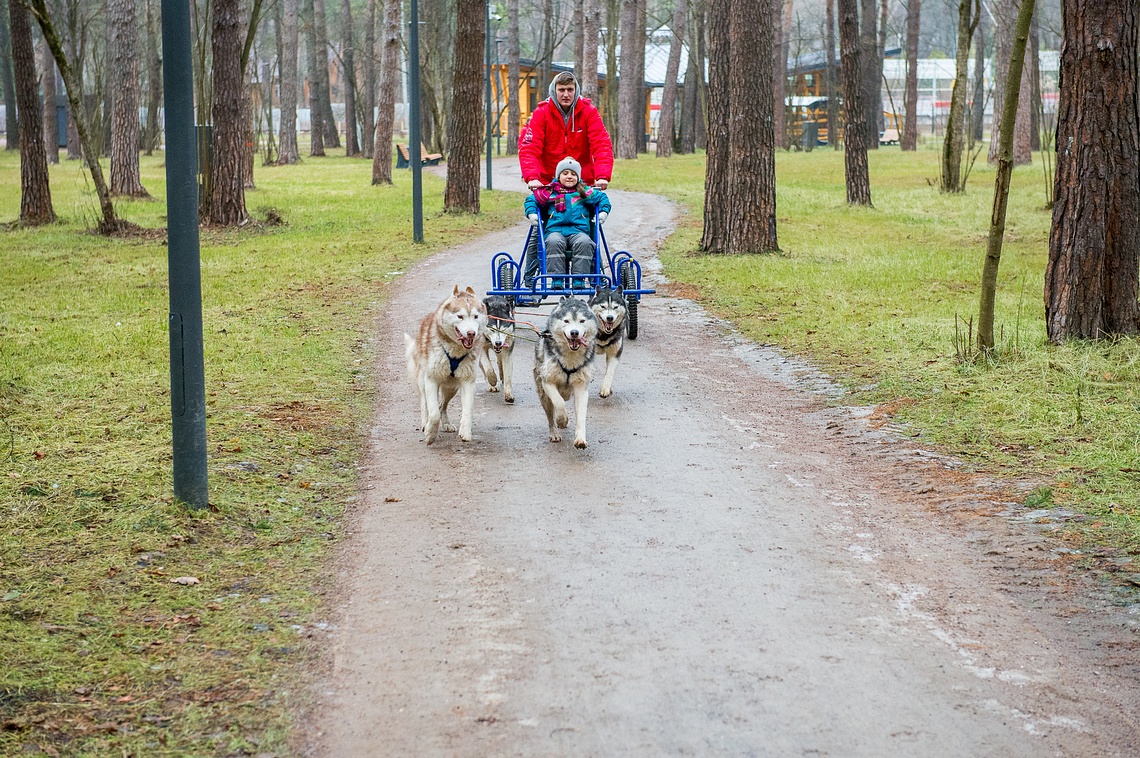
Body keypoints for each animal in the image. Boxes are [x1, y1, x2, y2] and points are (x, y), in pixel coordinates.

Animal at [405, 284, 485, 444]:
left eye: (475, 316)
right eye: (460, 316)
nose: (471, 333)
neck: (455, 352)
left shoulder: (468, 381)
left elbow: (467, 410)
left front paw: (465, 430)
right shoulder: (431, 379)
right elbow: (434, 414)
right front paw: (430, 434)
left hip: (451, 387)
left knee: (442, 405)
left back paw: (446, 423)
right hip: (423, 381)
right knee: (426, 405)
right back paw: (425, 423)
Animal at [531, 296, 597, 449]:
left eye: (582, 321)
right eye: (566, 321)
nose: (574, 333)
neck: (570, 358)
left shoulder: (581, 387)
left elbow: (581, 415)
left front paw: (580, 439)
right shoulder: (548, 382)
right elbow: (559, 403)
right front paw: (562, 420)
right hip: (543, 394)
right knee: (551, 415)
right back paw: (554, 432)